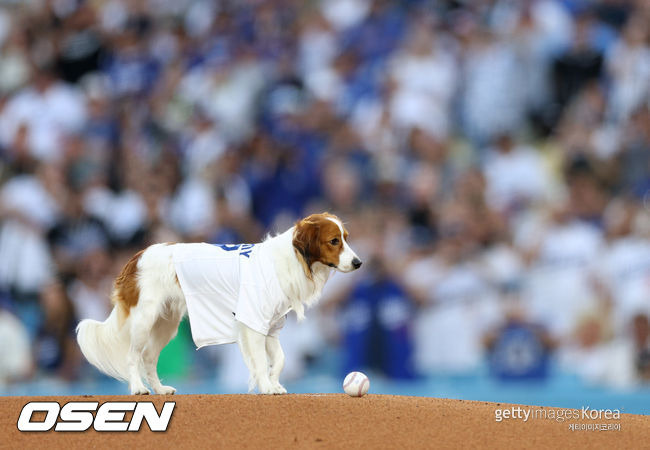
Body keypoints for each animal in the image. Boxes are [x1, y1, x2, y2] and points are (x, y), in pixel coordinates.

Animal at [76, 214, 362, 394]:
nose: (359, 263)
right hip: (144, 321)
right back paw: (138, 388)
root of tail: (137, 256)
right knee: (133, 356)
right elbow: (260, 360)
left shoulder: (270, 324)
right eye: (334, 241)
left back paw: (159, 389)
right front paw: (267, 387)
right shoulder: (253, 322)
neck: (291, 259)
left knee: (148, 357)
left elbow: (280, 359)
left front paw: (274, 383)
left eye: (347, 238)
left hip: (165, 324)